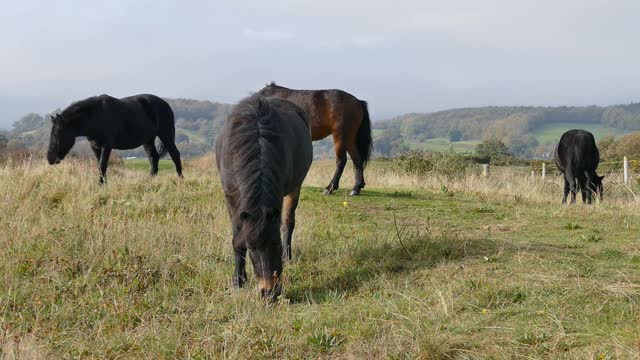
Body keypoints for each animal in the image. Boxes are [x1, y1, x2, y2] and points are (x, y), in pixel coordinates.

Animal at [47, 93, 182, 183]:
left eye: (59, 134)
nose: (50, 159)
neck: (96, 116)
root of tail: (166, 104)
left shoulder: (107, 145)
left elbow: (102, 165)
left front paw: (101, 185)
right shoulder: (95, 146)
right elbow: (100, 165)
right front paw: (104, 184)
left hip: (166, 135)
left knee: (175, 154)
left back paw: (180, 178)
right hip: (148, 140)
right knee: (153, 158)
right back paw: (150, 180)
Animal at [218, 94, 312, 300]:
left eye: (275, 243)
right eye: (251, 247)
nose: (269, 292)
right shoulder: (231, 201)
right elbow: (237, 240)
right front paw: (238, 280)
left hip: (294, 188)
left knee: (288, 222)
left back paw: (288, 257)